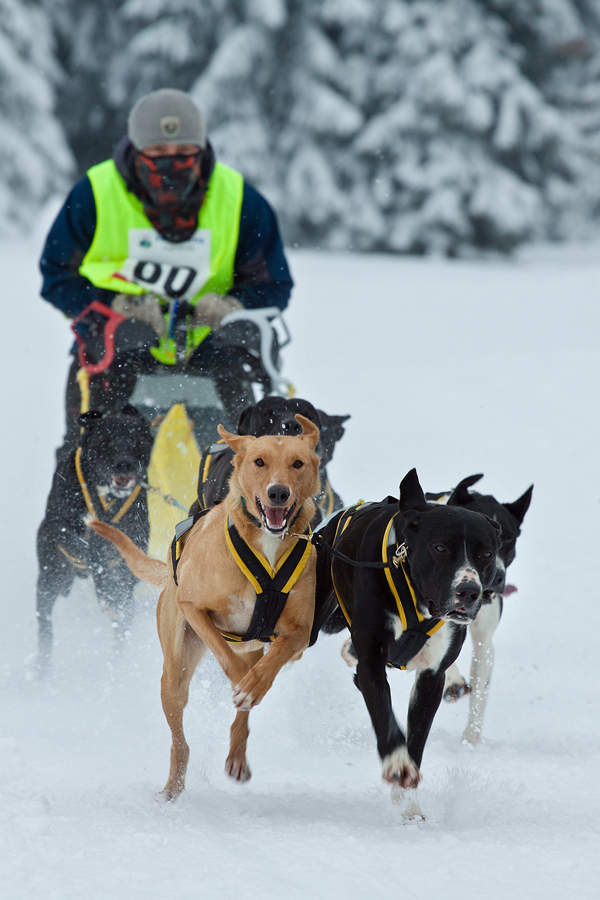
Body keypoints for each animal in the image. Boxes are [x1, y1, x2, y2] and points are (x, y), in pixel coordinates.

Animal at [35, 404, 155, 664]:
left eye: (137, 439)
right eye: (106, 438)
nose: (124, 464)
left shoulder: (134, 538)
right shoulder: (57, 524)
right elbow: (77, 541)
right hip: (51, 576)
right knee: (45, 624)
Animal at [90, 414, 318, 800]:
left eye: (297, 463)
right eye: (259, 462)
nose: (278, 492)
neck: (267, 546)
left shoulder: (299, 634)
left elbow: (274, 659)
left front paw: (255, 685)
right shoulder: (194, 607)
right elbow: (226, 658)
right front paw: (243, 683)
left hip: (247, 650)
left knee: (241, 719)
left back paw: (237, 753)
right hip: (174, 674)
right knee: (180, 741)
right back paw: (173, 787)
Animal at [316, 472, 500, 796]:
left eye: (487, 554)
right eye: (440, 548)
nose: (469, 590)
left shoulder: (432, 675)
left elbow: (416, 740)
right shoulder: (372, 661)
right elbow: (383, 712)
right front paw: (396, 761)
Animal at [428, 474, 532, 740]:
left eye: (508, 539)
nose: (497, 578)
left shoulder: (484, 642)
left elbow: (479, 694)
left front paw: (469, 742)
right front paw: (453, 680)